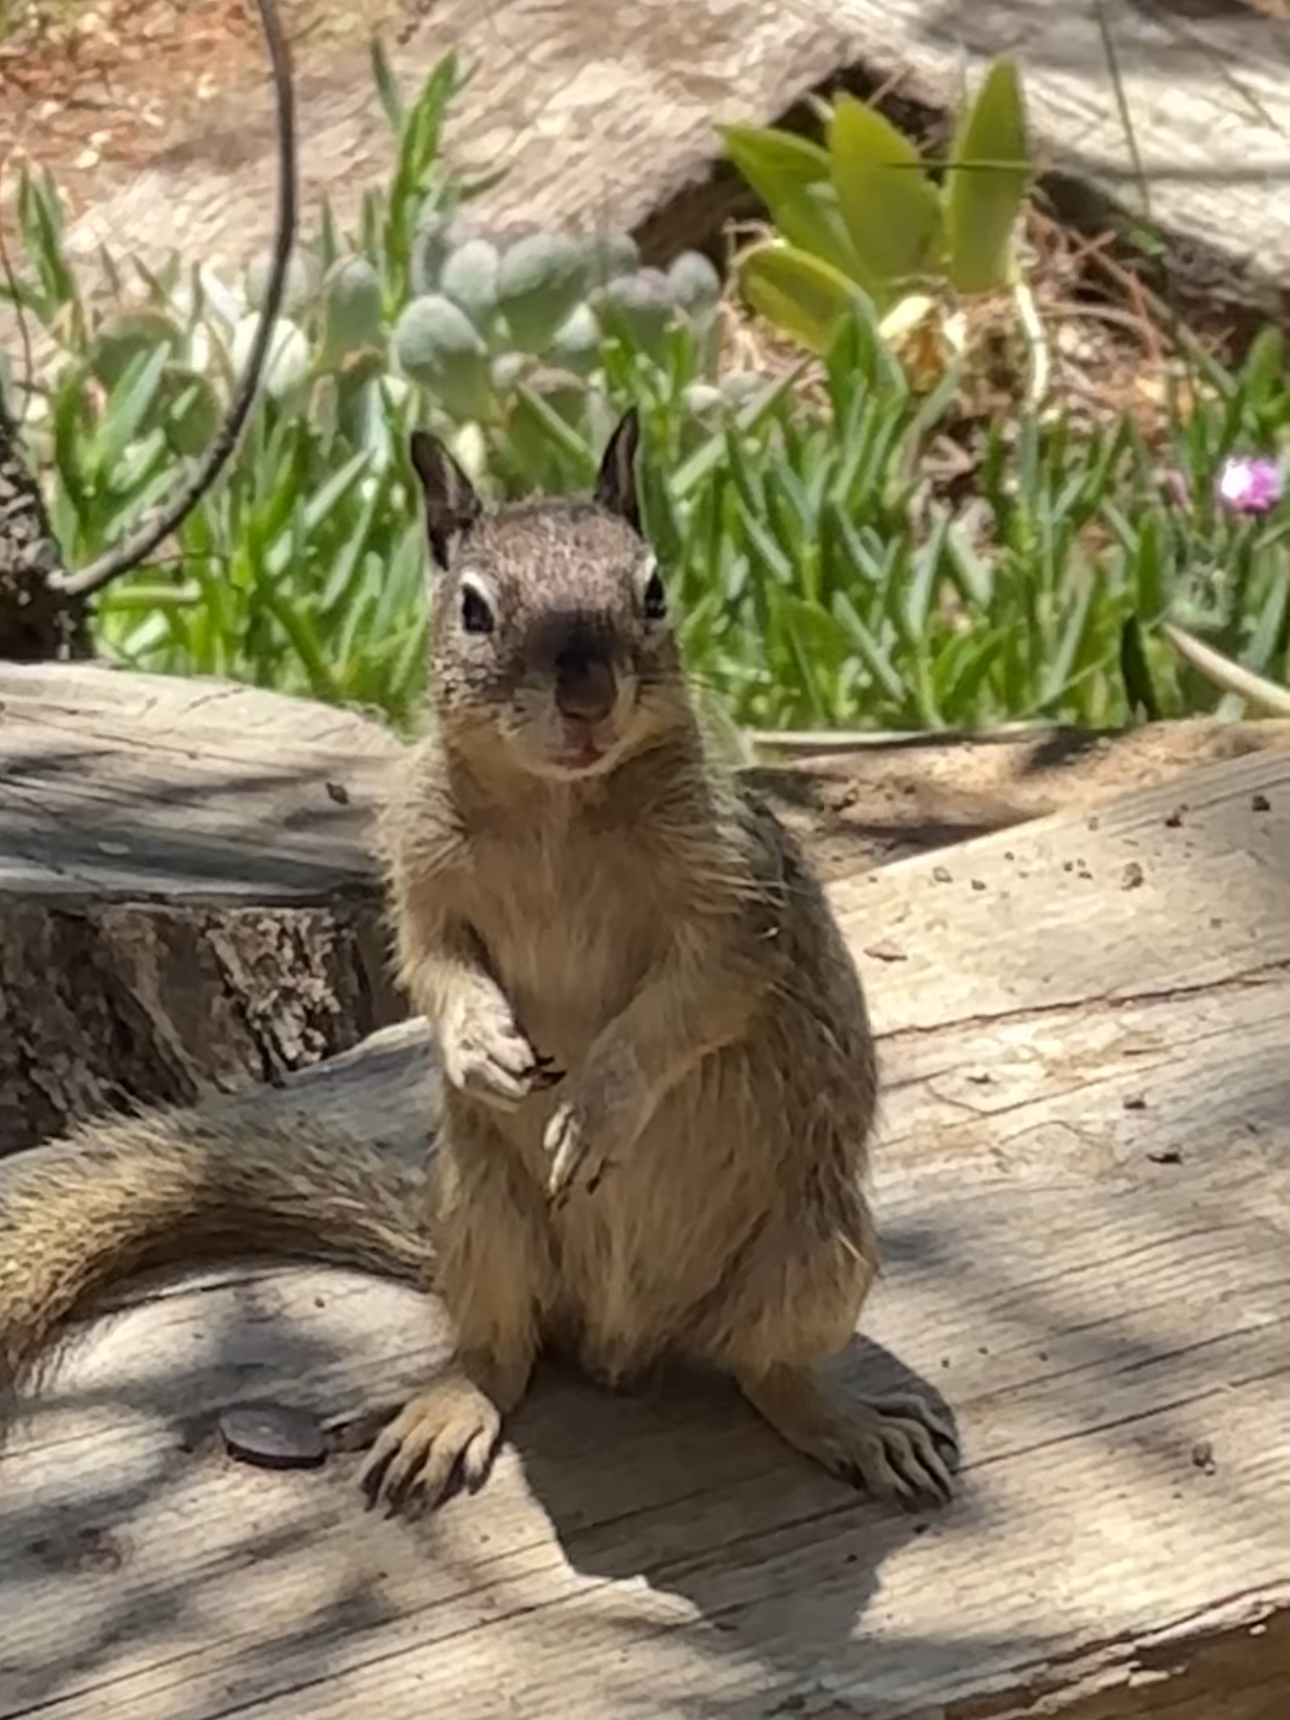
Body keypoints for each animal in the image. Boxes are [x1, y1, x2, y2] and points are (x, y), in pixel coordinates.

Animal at [0, 409, 956, 1515]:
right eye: (472, 607)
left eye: (654, 590)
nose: (587, 693)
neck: (558, 809)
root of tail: (623, 1341)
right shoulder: (418, 873)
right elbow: (435, 962)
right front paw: (480, 1048)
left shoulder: (736, 903)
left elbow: (696, 1002)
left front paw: (598, 1107)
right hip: (485, 1226)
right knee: (501, 1355)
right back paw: (448, 1411)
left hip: (816, 1253)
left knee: (771, 1370)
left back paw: (850, 1424)